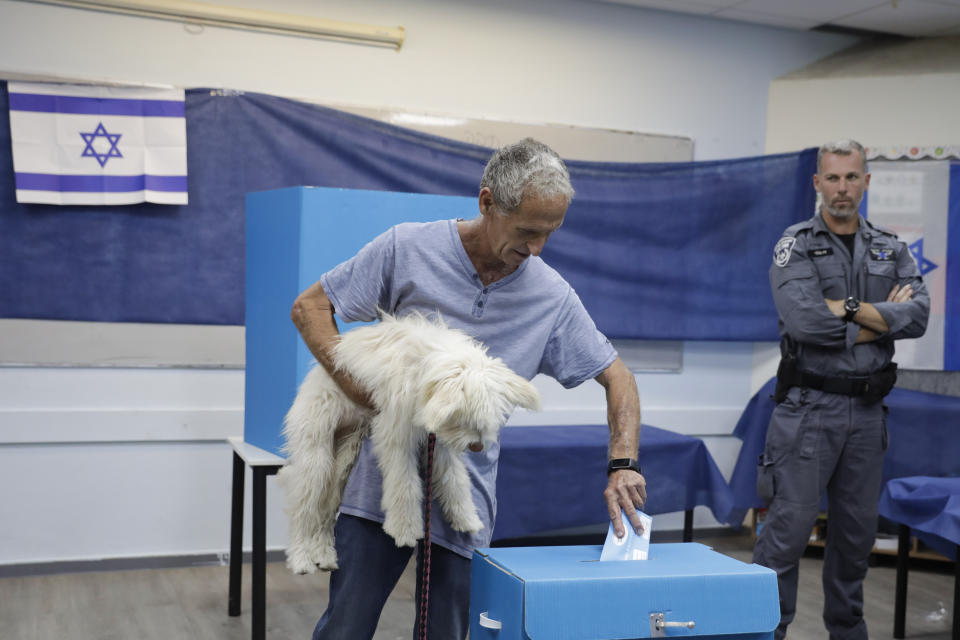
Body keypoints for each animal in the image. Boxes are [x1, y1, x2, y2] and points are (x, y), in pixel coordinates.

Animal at [278, 312, 540, 576]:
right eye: (463, 419)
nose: (477, 447)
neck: (423, 363)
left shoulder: (439, 443)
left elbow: (454, 478)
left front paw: (467, 518)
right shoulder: (396, 435)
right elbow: (405, 485)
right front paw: (405, 530)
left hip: (344, 460)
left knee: (325, 514)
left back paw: (325, 555)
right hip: (317, 458)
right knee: (303, 510)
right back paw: (301, 559)